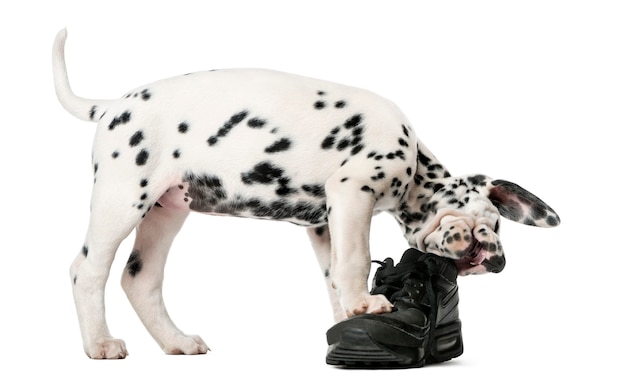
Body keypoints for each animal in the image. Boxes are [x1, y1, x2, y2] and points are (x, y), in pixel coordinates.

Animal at [52, 29, 560, 358]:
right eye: (489, 225)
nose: (497, 260)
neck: (416, 162)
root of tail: (111, 106)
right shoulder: (353, 194)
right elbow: (356, 259)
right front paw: (366, 305)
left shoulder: (325, 224)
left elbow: (335, 275)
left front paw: (349, 317)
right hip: (122, 200)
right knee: (87, 271)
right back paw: (99, 343)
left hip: (165, 211)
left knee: (139, 280)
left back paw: (175, 342)